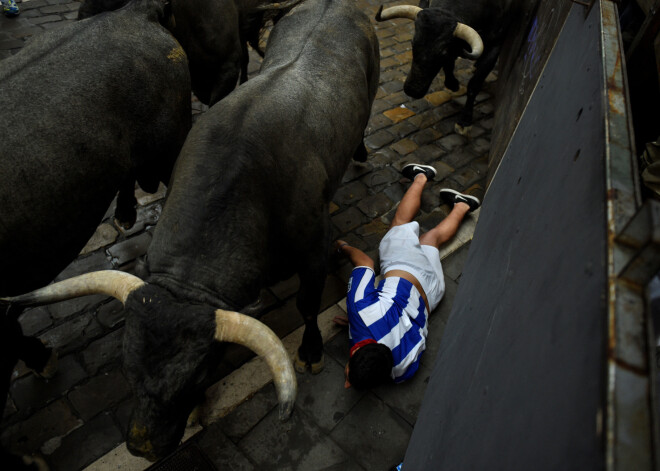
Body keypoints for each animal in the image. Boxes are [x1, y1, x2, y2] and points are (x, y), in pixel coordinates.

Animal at [0, 0, 378, 460]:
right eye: (127, 368)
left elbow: (308, 305)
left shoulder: (314, 250)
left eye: (198, 375)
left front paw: (310, 352)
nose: (142, 446)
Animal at [376, 0, 516, 136]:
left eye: (442, 52)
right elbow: (449, 66)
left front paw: (465, 121)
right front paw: (452, 84)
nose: (412, 90)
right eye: (413, 43)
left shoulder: (495, 46)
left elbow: (474, 85)